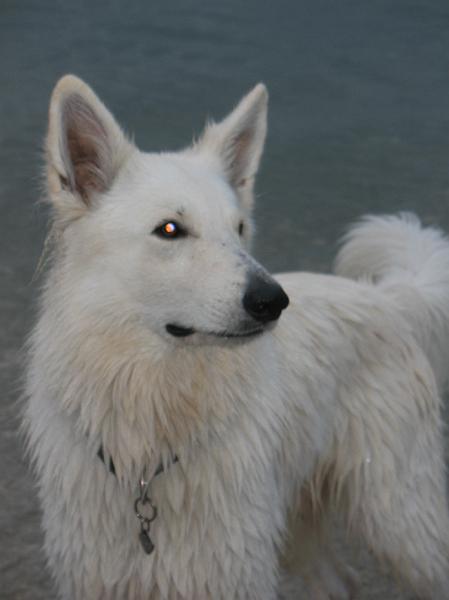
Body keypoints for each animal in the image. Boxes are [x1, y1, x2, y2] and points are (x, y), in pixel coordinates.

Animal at [24, 75, 449, 599]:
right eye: (170, 229)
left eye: (240, 228)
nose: (274, 301)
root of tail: (386, 297)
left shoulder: (231, 573)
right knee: (340, 581)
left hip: (400, 521)